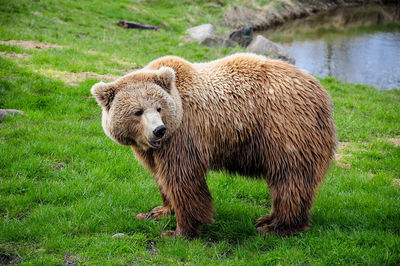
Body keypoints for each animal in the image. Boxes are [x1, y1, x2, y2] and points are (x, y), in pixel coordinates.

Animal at [90, 53, 334, 238]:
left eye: (159, 108)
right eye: (137, 111)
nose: (159, 130)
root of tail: (320, 90)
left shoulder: (184, 136)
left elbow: (182, 179)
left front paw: (179, 231)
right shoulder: (152, 150)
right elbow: (160, 177)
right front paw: (160, 210)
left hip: (285, 129)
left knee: (290, 178)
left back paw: (278, 226)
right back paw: (267, 218)